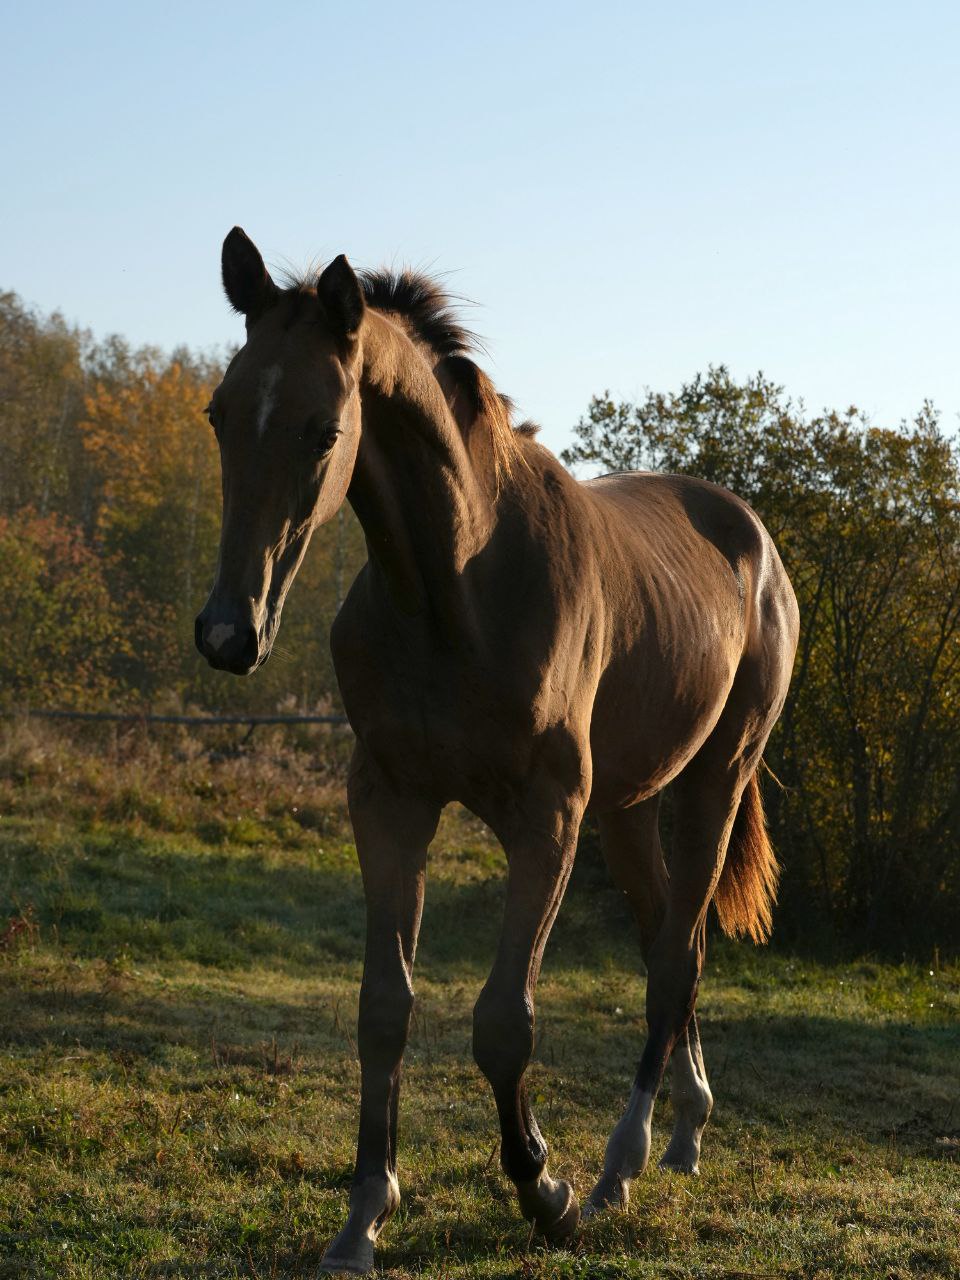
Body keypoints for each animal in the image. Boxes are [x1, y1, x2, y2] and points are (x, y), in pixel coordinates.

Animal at [197, 227, 803, 1269]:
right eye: (219, 413)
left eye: (323, 428)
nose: (230, 633)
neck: (460, 589)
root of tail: (752, 537)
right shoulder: (389, 799)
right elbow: (384, 1009)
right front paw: (365, 1213)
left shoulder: (545, 817)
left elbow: (502, 1023)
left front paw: (543, 1188)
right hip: (630, 808)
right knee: (665, 945)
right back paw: (682, 1130)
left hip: (713, 782)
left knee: (677, 961)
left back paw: (618, 1168)